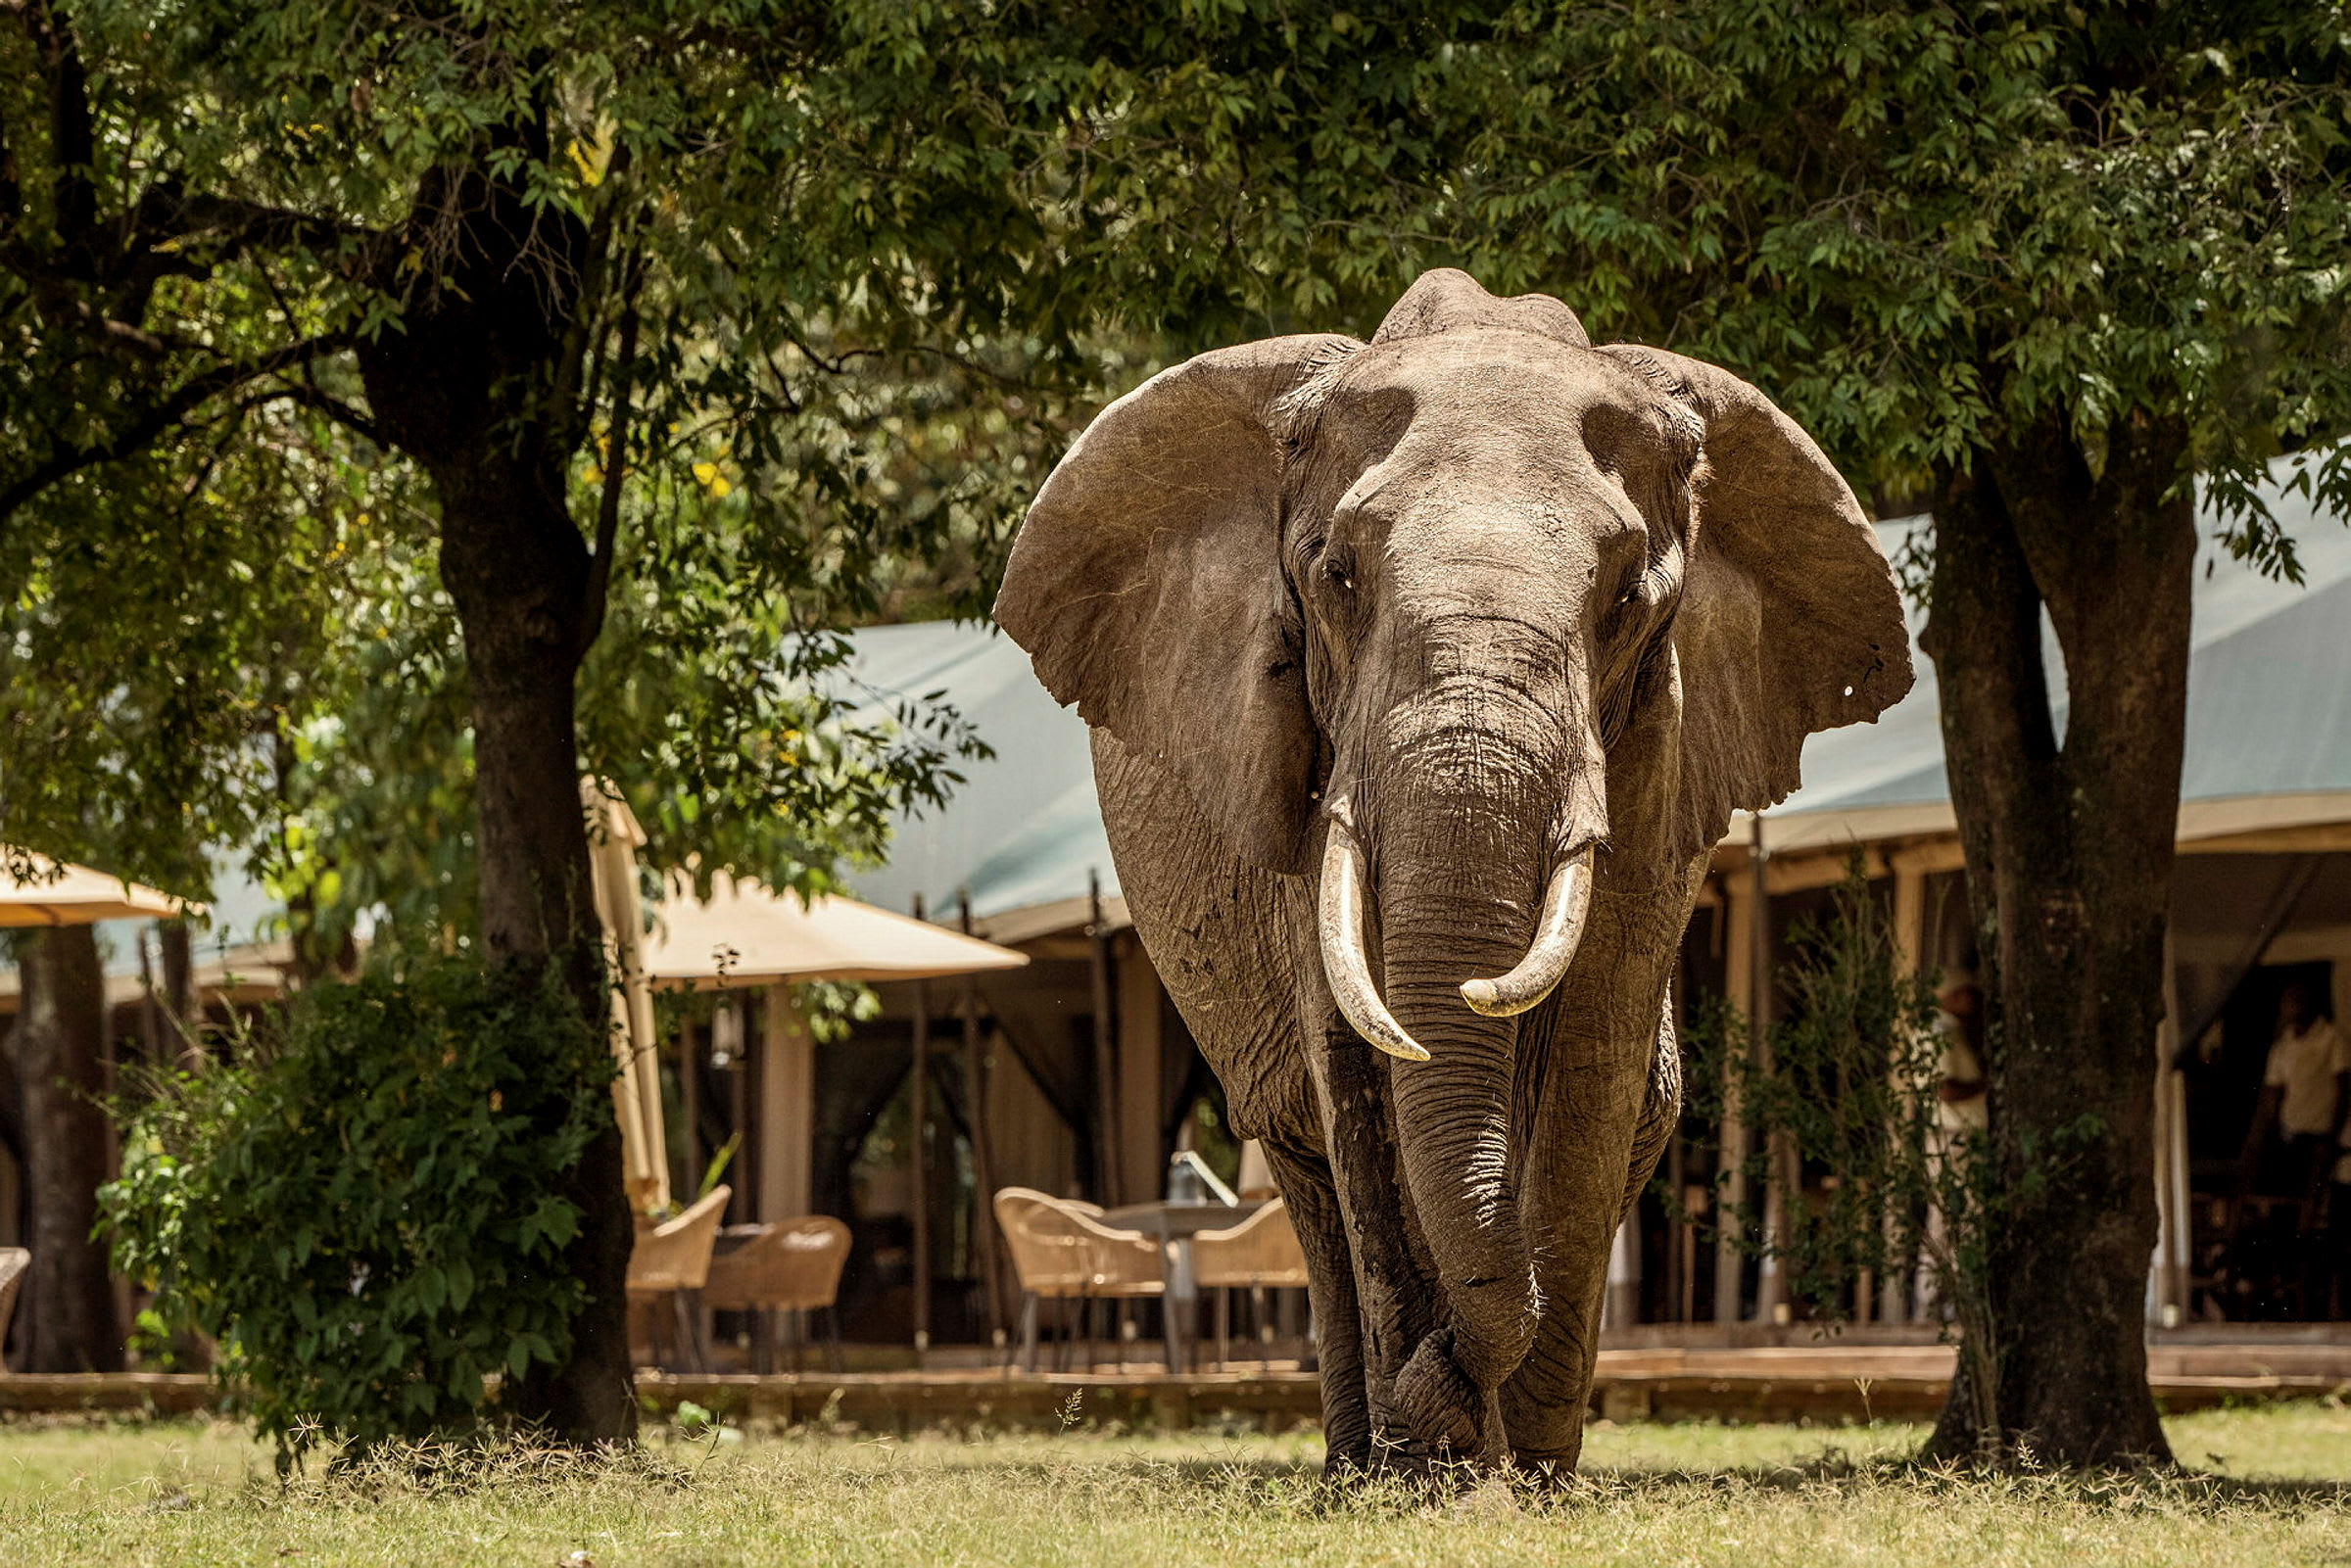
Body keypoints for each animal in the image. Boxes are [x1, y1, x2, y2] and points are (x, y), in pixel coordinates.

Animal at [993, 269, 1913, 1476]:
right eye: (1336, 575)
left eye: (1627, 601)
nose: (1438, 1399)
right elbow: (1352, 1063)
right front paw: (1425, 1466)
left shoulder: (1663, 769)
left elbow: (1594, 1056)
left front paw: (1511, 1468)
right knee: (1304, 1159)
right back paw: (1355, 1456)